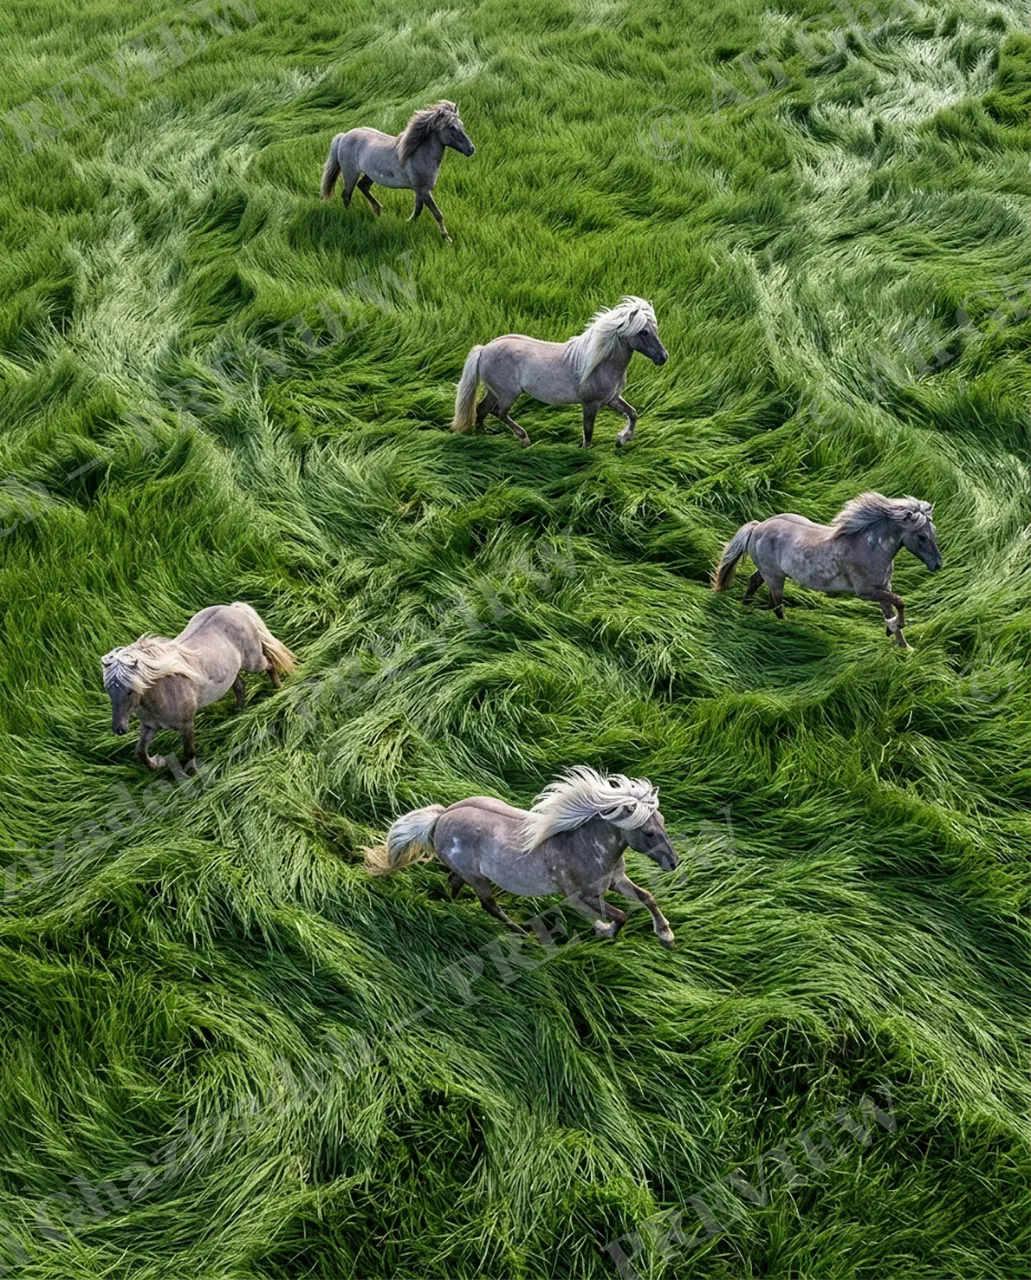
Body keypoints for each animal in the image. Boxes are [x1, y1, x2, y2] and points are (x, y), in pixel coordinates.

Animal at [101, 603, 296, 772]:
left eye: (129, 690)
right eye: (109, 691)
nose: (119, 729)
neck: (162, 692)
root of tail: (233, 609)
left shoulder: (187, 724)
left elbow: (189, 752)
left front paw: (192, 775)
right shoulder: (150, 726)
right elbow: (140, 753)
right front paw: (158, 762)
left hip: (253, 662)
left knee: (270, 664)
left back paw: (278, 690)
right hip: (231, 672)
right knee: (240, 686)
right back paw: (239, 711)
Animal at [320, 101, 475, 242]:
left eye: (461, 125)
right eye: (452, 127)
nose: (471, 149)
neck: (418, 154)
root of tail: (343, 136)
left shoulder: (419, 191)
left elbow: (418, 210)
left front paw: (407, 223)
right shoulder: (424, 191)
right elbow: (437, 214)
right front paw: (447, 239)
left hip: (370, 175)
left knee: (362, 186)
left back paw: (378, 210)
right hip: (350, 173)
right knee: (346, 195)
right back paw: (350, 214)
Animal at [366, 766, 680, 947]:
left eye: (663, 821)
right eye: (649, 832)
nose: (674, 863)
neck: (584, 847)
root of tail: (440, 817)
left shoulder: (616, 880)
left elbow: (647, 897)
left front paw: (666, 935)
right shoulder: (581, 895)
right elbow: (620, 915)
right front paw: (604, 931)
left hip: (466, 872)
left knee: (454, 882)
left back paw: (452, 907)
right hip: (478, 878)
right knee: (489, 905)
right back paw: (523, 933)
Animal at [450, 296, 669, 448]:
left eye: (655, 330)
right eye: (643, 332)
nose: (663, 357)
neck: (599, 364)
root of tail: (484, 349)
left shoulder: (612, 399)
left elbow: (632, 413)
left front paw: (622, 440)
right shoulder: (590, 405)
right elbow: (588, 433)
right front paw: (585, 452)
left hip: (494, 392)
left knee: (481, 409)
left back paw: (484, 434)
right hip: (508, 394)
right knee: (499, 412)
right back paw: (524, 439)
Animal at [713, 492, 942, 648]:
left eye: (933, 532)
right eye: (921, 536)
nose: (937, 565)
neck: (869, 546)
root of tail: (758, 527)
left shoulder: (883, 588)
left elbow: (892, 609)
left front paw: (904, 645)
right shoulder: (866, 592)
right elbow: (901, 603)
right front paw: (895, 628)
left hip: (770, 573)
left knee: (754, 583)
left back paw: (745, 608)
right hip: (775, 577)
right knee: (777, 605)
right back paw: (787, 629)